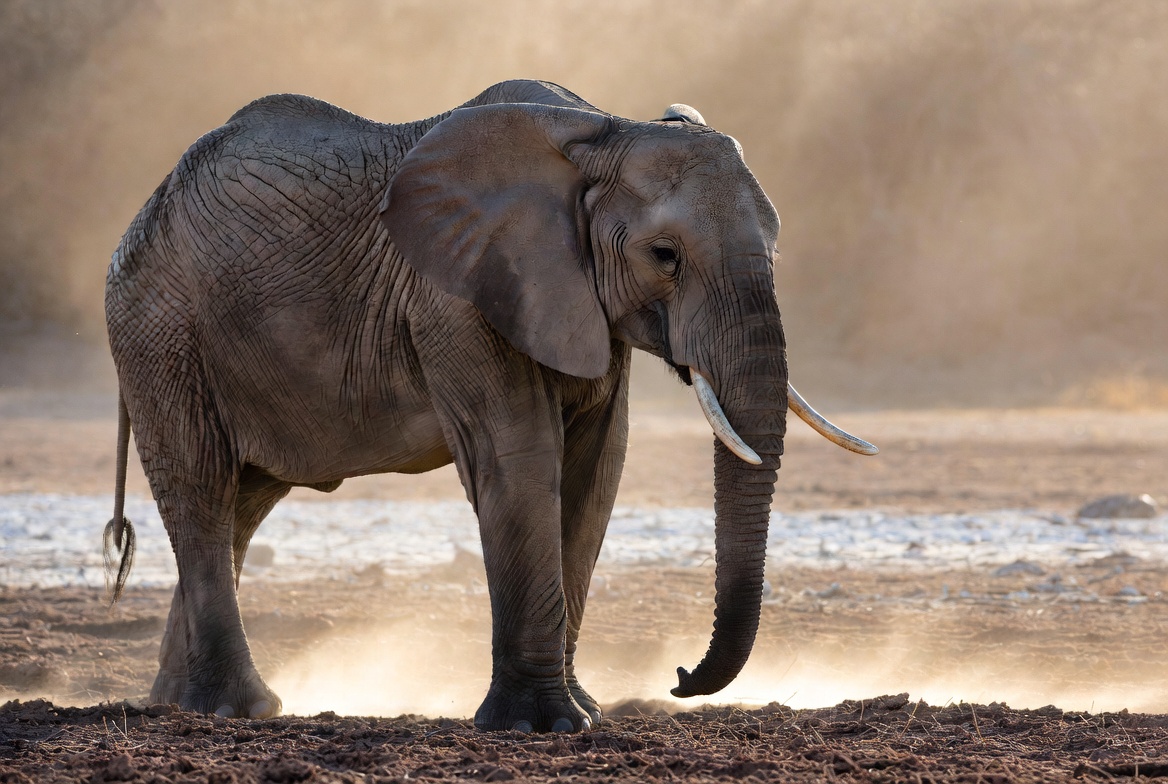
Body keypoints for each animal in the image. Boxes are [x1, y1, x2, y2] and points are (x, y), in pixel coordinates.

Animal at [103, 79, 876, 732]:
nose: (681, 676)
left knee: (242, 503)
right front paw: (542, 726)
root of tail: (143, 208)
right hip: (160, 330)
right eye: (665, 256)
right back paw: (240, 709)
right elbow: (520, 458)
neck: (601, 130)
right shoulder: (459, 299)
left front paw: (585, 710)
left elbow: (597, 470)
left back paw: (178, 703)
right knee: (201, 487)